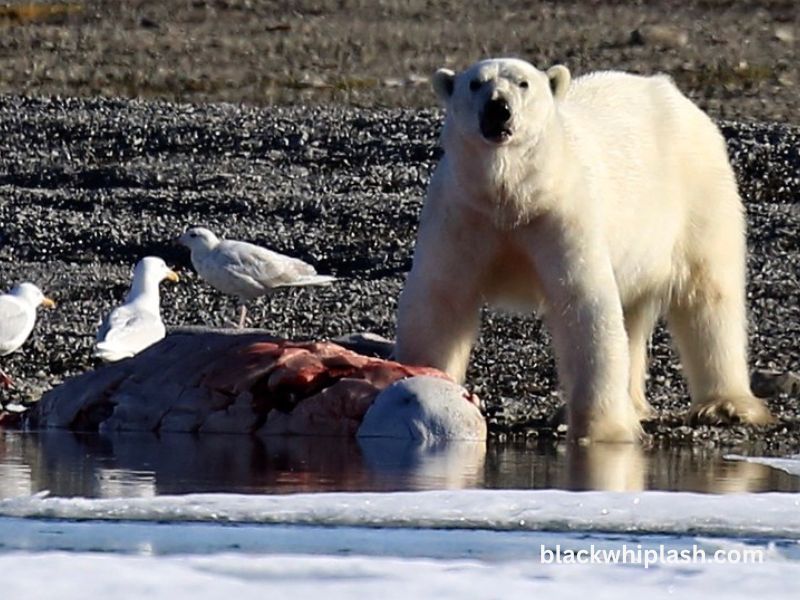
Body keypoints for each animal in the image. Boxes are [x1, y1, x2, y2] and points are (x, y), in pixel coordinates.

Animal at [394, 57, 776, 440]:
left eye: (523, 83)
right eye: (475, 84)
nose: (497, 108)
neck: (512, 197)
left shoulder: (561, 214)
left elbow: (583, 304)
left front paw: (601, 427)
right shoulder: (462, 213)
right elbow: (441, 300)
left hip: (697, 195)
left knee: (707, 295)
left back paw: (724, 406)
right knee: (634, 314)